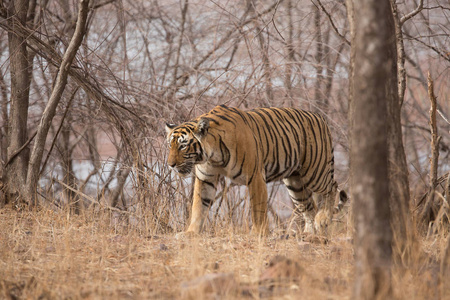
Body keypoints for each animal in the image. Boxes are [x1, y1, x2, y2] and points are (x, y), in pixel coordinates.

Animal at [165, 104, 348, 236]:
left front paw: (258, 233)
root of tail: (321, 118)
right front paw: (191, 232)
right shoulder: (205, 178)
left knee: (332, 187)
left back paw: (323, 219)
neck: (213, 155)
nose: (170, 164)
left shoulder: (255, 176)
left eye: (183, 146)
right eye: (170, 145)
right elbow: (198, 206)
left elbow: (258, 208)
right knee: (309, 206)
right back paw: (309, 233)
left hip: (315, 172)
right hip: (295, 183)